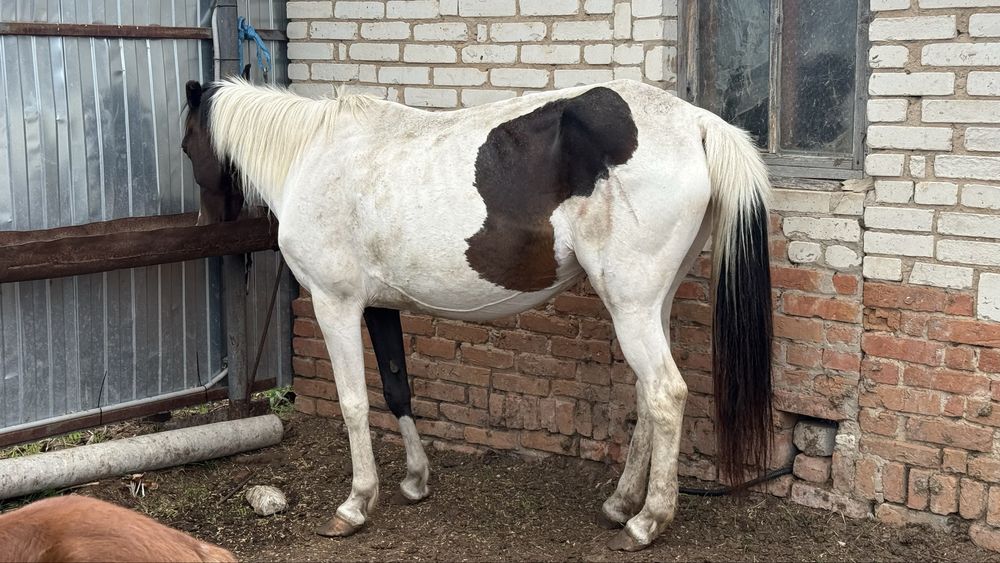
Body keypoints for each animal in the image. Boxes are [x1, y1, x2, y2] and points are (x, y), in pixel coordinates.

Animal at [181, 77, 774, 551]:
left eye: (187, 146)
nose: (205, 226)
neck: (311, 156)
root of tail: (698, 123)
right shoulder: (379, 307)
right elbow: (397, 388)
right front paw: (415, 481)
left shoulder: (336, 303)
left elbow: (353, 403)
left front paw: (355, 504)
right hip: (650, 305)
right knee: (647, 397)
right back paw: (621, 503)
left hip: (630, 306)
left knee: (666, 395)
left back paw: (647, 522)